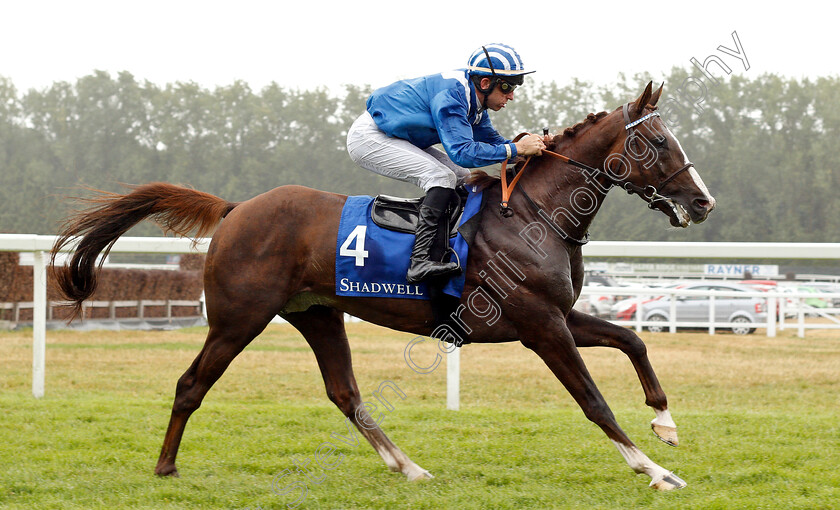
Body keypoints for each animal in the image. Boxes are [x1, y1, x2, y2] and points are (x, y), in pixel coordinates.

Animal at [49, 82, 712, 490]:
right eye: (657, 142)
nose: (702, 202)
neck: (532, 214)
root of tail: (236, 209)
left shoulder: (558, 315)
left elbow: (633, 341)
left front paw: (666, 423)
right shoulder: (540, 326)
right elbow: (593, 400)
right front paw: (654, 471)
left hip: (316, 312)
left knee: (344, 392)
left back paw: (409, 466)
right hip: (240, 317)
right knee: (191, 384)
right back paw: (165, 468)